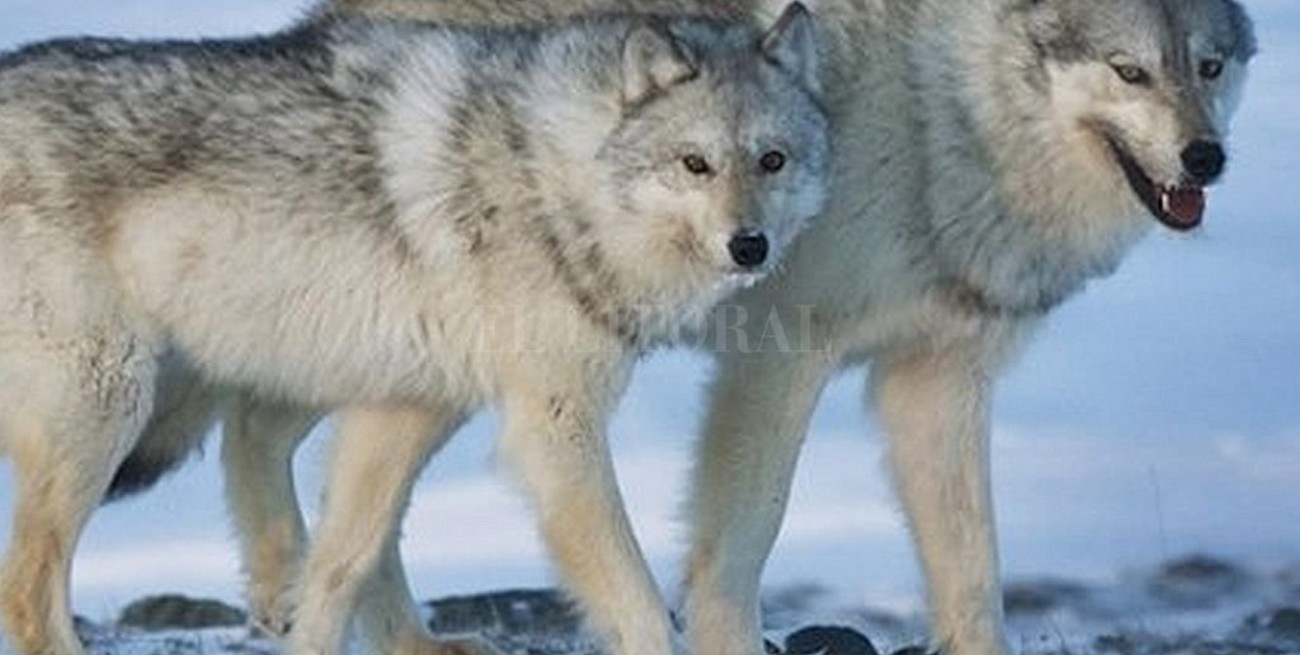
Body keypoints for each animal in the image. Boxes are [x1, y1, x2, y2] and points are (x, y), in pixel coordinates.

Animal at [0, 7, 828, 655]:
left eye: (772, 160)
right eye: (695, 164)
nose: (749, 246)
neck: (553, 177)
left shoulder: (406, 408)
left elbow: (344, 561)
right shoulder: (553, 428)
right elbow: (636, 594)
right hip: (107, 405)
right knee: (28, 589)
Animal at [96, 0, 1257, 654]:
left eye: (1208, 65)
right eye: (1130, 71)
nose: (1206, 159)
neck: (945, 117)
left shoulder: (936, 376)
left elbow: (971, 571)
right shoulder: (782, 356)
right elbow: (737, 540)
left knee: (281, 443)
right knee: (265, 435)